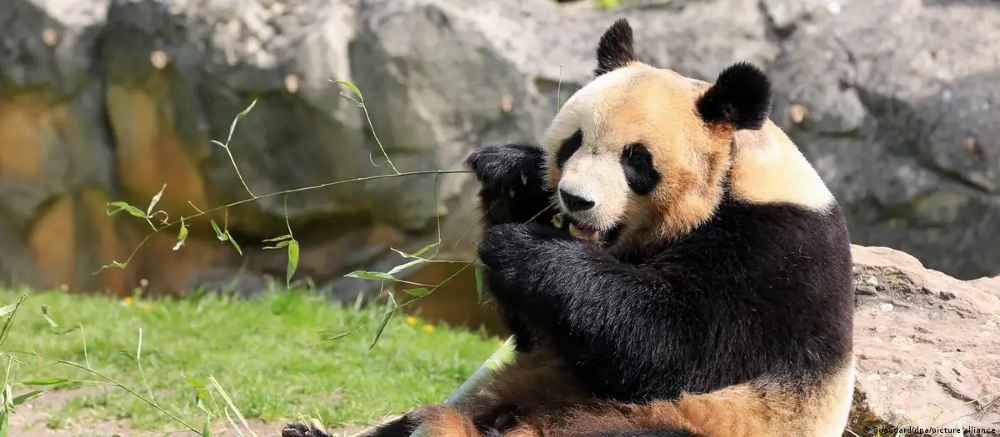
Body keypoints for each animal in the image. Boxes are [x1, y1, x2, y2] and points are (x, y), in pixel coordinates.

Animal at [285, 18, 854, 437]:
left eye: (637, 160)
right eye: (572, 143)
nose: (576, 200)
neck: (735, 177)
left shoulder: (774, 255)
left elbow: (672, 343)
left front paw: (524, 247)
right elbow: (545, 333)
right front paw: (509, 173)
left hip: (700, 422)